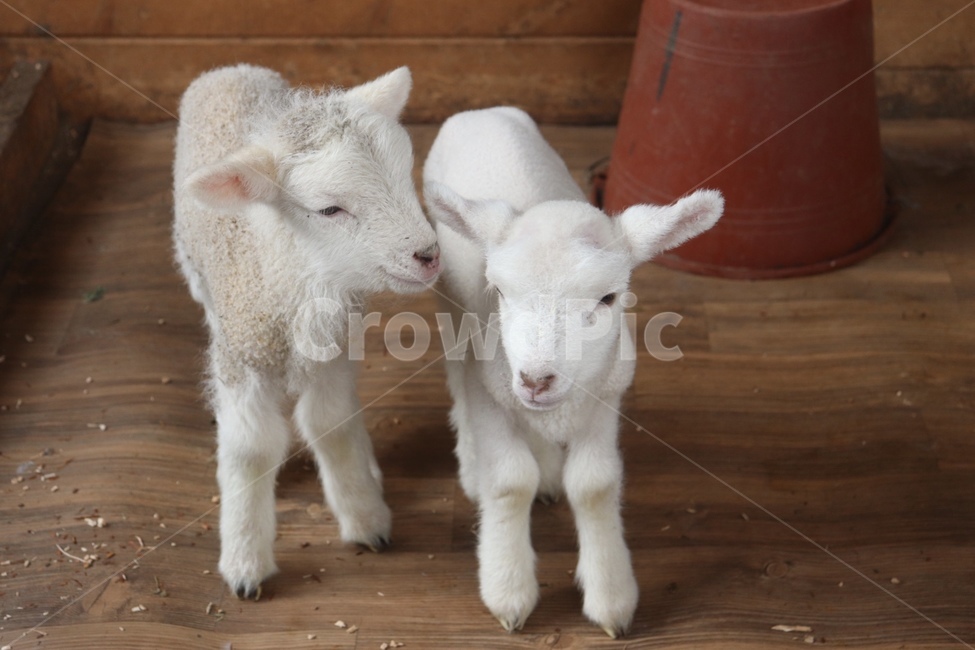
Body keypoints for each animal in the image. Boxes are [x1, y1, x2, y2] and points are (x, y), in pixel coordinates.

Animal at [172, 64, 441, 599]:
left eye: (406, 176)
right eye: (329, 210)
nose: (428, 255)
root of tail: (229, 69)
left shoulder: (331, 357)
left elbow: (330, 423)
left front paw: (366, 517)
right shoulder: (243, 360)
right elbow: (251, 449)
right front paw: (245, 562)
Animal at [423, 107, 723, 637]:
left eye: (607, 298)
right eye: (499, 291)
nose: (535, 379)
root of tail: (478, 111)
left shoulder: (605, 399)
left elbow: (594, 484)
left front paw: (612, 598)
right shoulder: (490, 393)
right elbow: (509, 481)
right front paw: (508, 591)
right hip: (450, 309)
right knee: (456, 377)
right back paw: (473, 464)